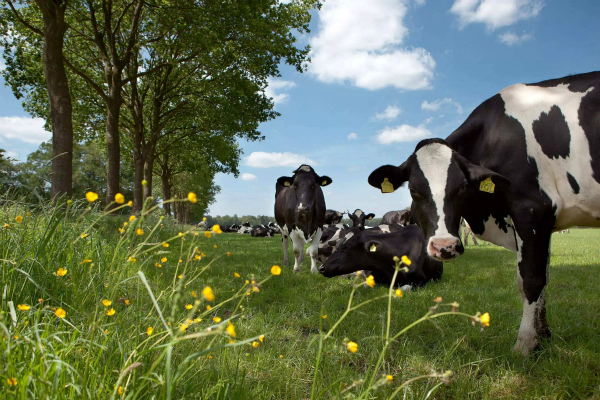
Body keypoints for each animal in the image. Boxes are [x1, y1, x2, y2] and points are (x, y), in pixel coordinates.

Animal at [368, 70, 600, 354]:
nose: (444, 247)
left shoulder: (532, 210)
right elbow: (544, 276)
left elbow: (531, 279)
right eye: (413, 189)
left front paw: (525, 344)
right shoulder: (543, 223)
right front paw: (543, 335)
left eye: (462, 187)